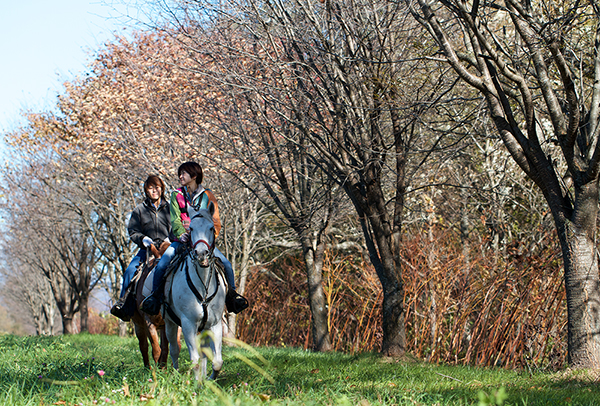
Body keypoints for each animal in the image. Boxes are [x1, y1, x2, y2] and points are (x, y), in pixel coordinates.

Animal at [163, 205, 226, 382]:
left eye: (211, 228)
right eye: (190, 228)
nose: (201, 254)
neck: (203, 286)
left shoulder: (215, 324)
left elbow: (217, 361)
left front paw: (210, 380)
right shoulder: (188, 324)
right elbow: (194, 360)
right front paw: (197, 384)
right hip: (169, 323)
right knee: (174, 349)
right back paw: (177, 374)